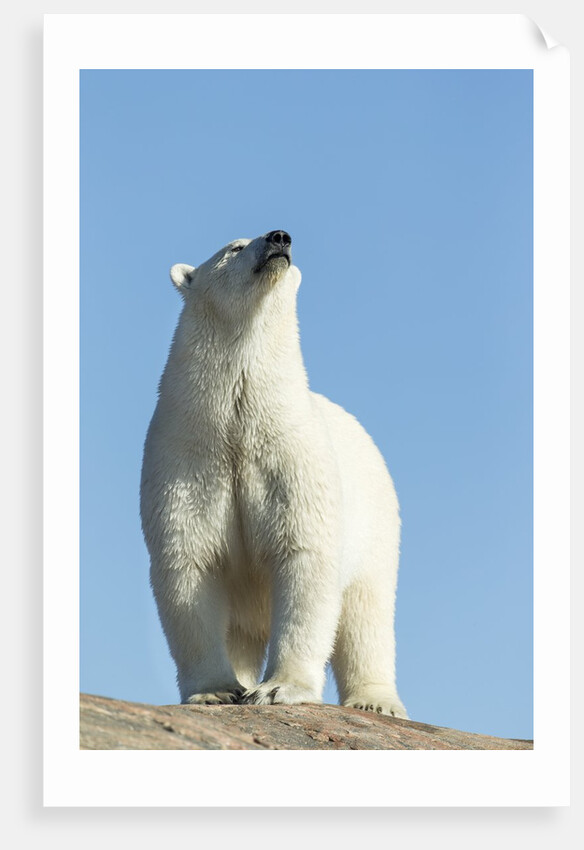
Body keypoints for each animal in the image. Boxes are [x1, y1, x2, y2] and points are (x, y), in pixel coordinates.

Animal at [140, 230, 408, 717]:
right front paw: (215, 690)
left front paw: (279, 688)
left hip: (376, 525)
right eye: (234, 246)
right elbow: (189, 567)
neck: (236, 429)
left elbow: (304, 560)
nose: (279, 237)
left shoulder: (292, 467)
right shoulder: (187, 464)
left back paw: (376, 701)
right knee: (243, 633)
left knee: (367, 610)